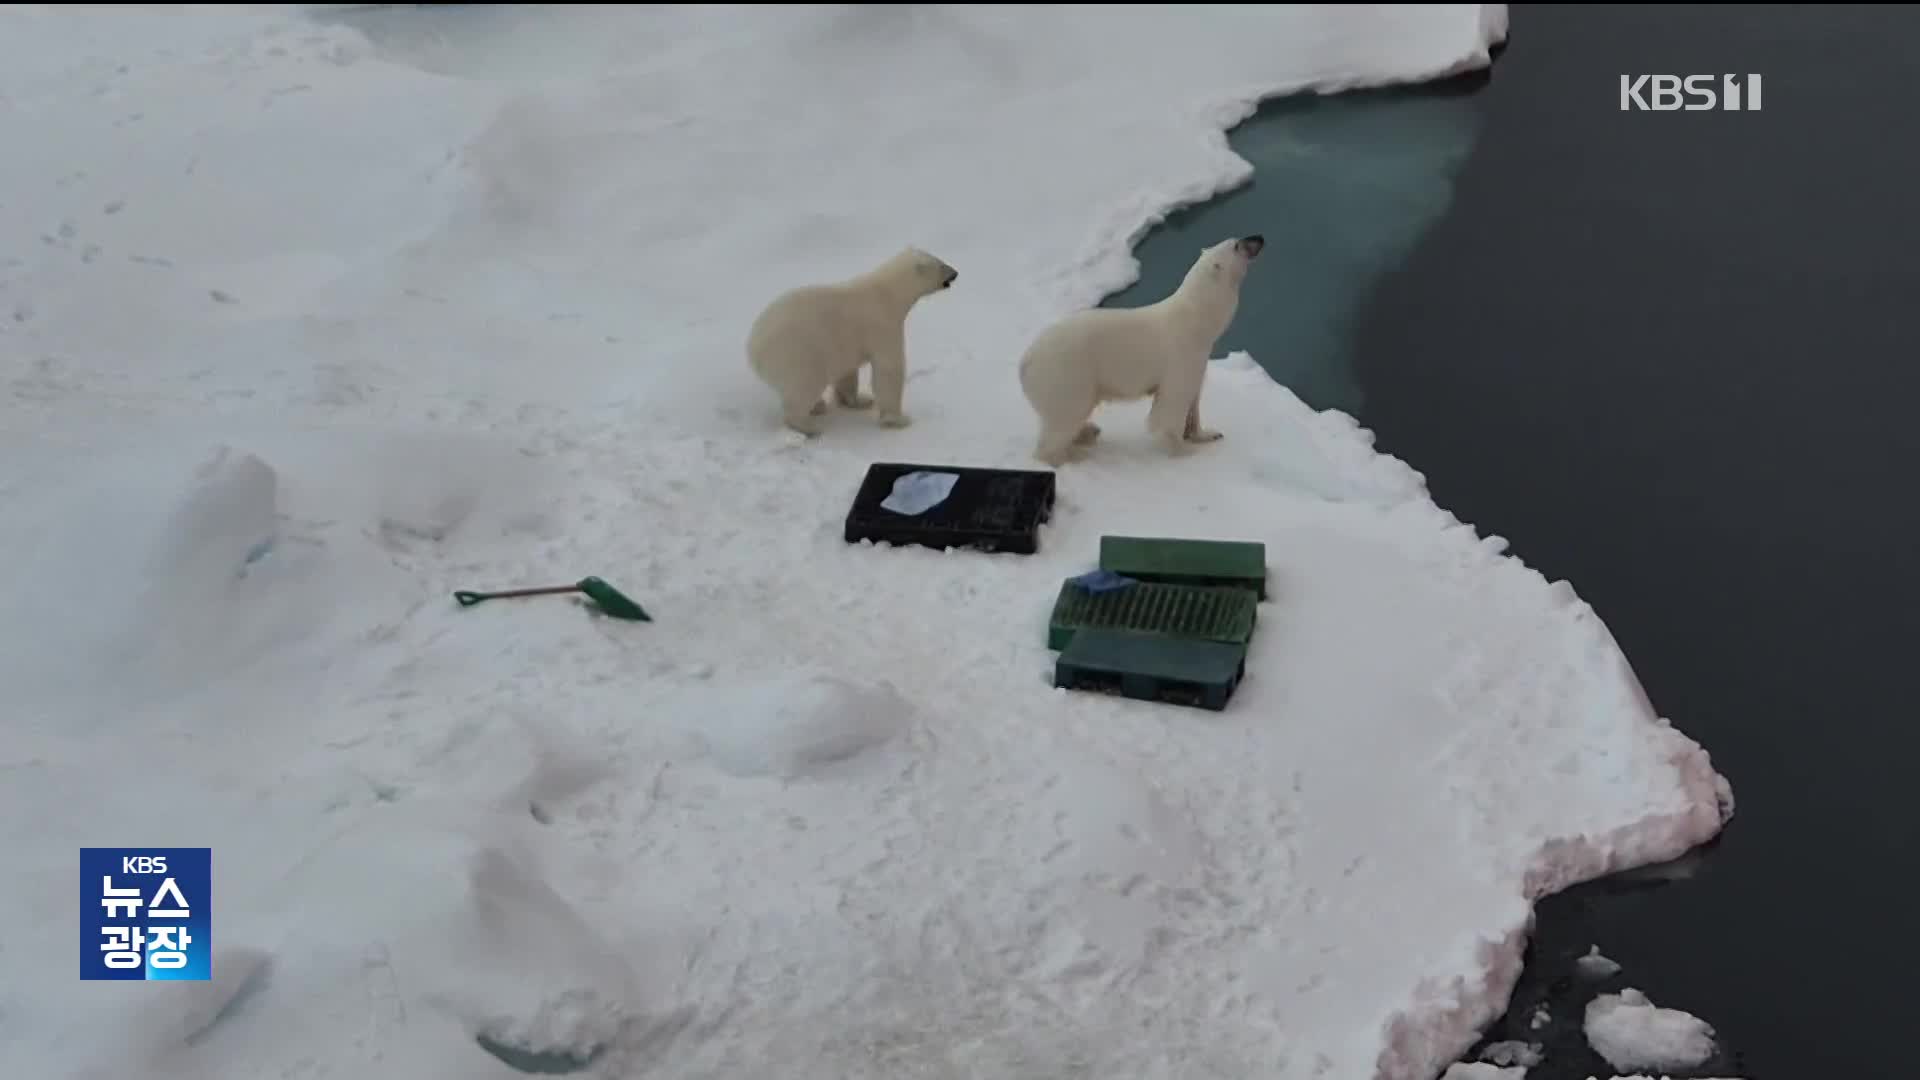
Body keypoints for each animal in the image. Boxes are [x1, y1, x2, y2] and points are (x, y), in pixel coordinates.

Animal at [744, 245, 960, 434]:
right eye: (941, 265)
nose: (956, 272)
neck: (887, 294)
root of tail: (753, 350)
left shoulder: (844, 343)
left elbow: (847, 371)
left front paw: (859, 401)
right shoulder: (882, 325)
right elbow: (888, 369)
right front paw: (898, 419)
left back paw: (818, 406)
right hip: (797, 354)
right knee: (803, 387)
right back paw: (809, 426)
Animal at [1013, 235, 1267, 463]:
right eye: (1237, 245)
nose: (1259, 237)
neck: (1197, 320)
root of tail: (1026, 360)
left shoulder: (1199, 357)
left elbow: (1194, 396)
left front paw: (1208, 434)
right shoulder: (1181, 355)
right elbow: (1171, 403)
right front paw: (1184, 452)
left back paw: (1088, 432)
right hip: (1066, 374)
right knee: (1066, 416)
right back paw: (1067, 455)